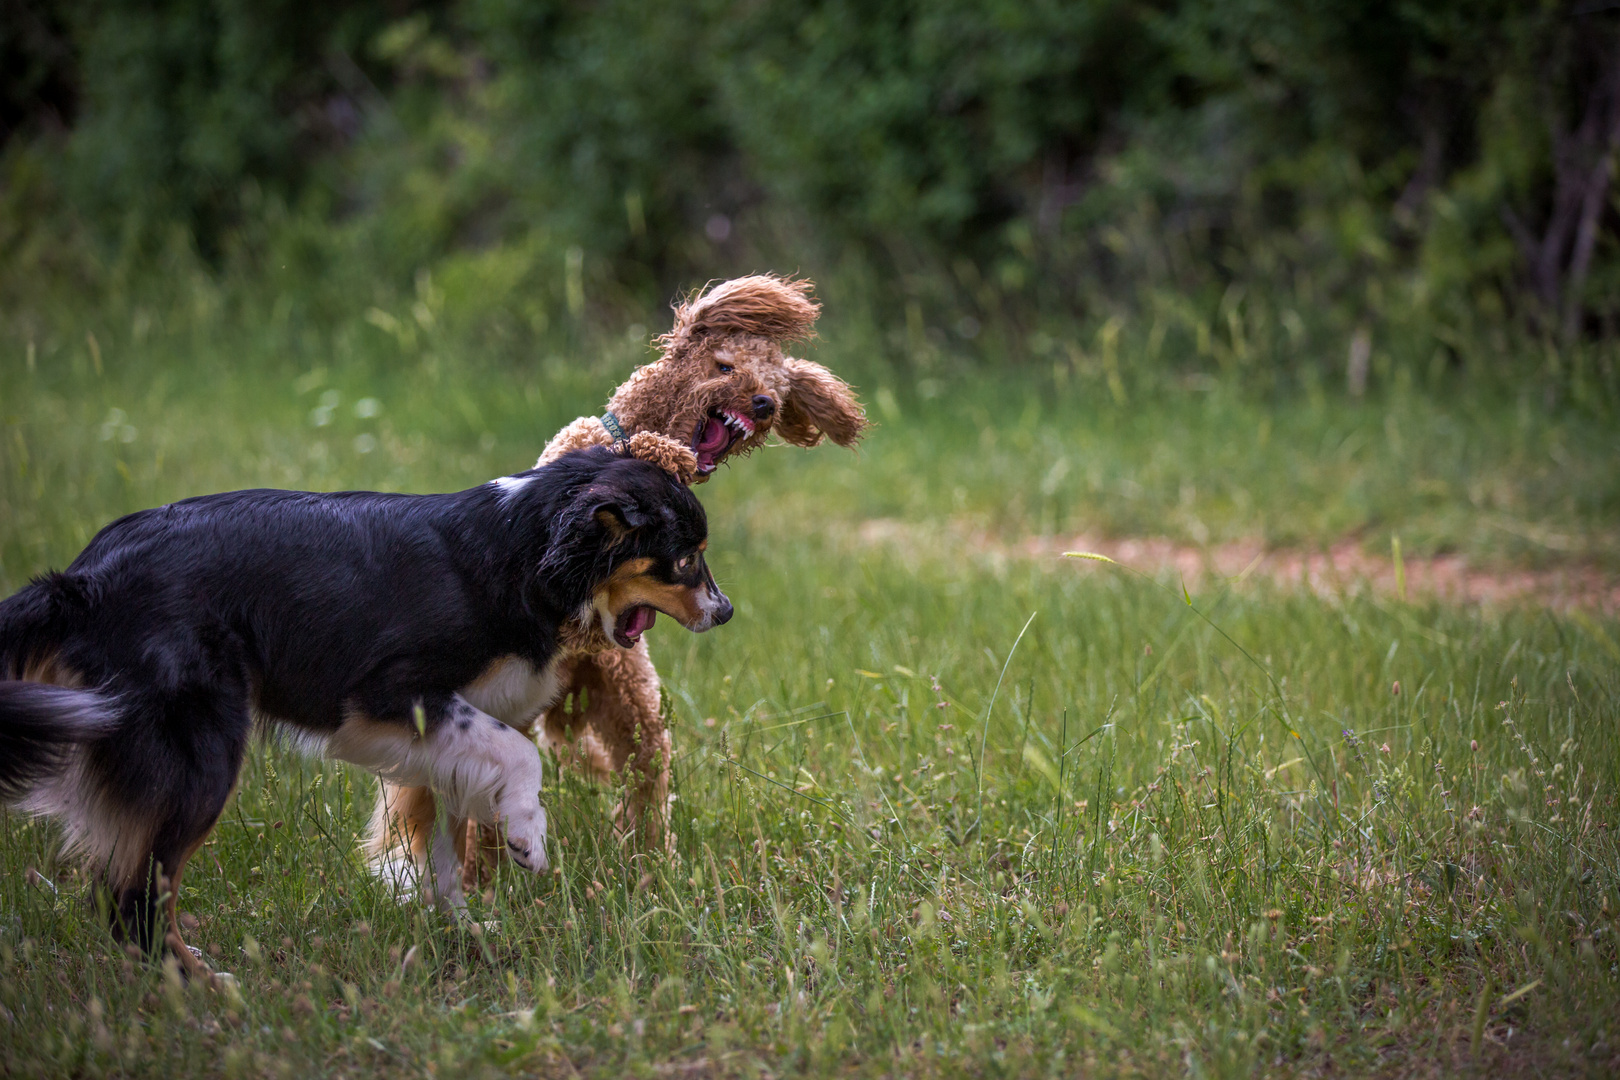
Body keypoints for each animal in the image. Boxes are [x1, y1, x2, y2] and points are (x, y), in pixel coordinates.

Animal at [0, 443, 729, 977]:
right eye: (683, 561)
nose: (724, 613)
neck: (521, 552)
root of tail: (81, 581)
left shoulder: (435, 731)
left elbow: (443, 848)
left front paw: (461, 931)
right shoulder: (388, 693)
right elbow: (519, 756)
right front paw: (527, 835)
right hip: (199, 752)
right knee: (131, 895)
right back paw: (204, 986)